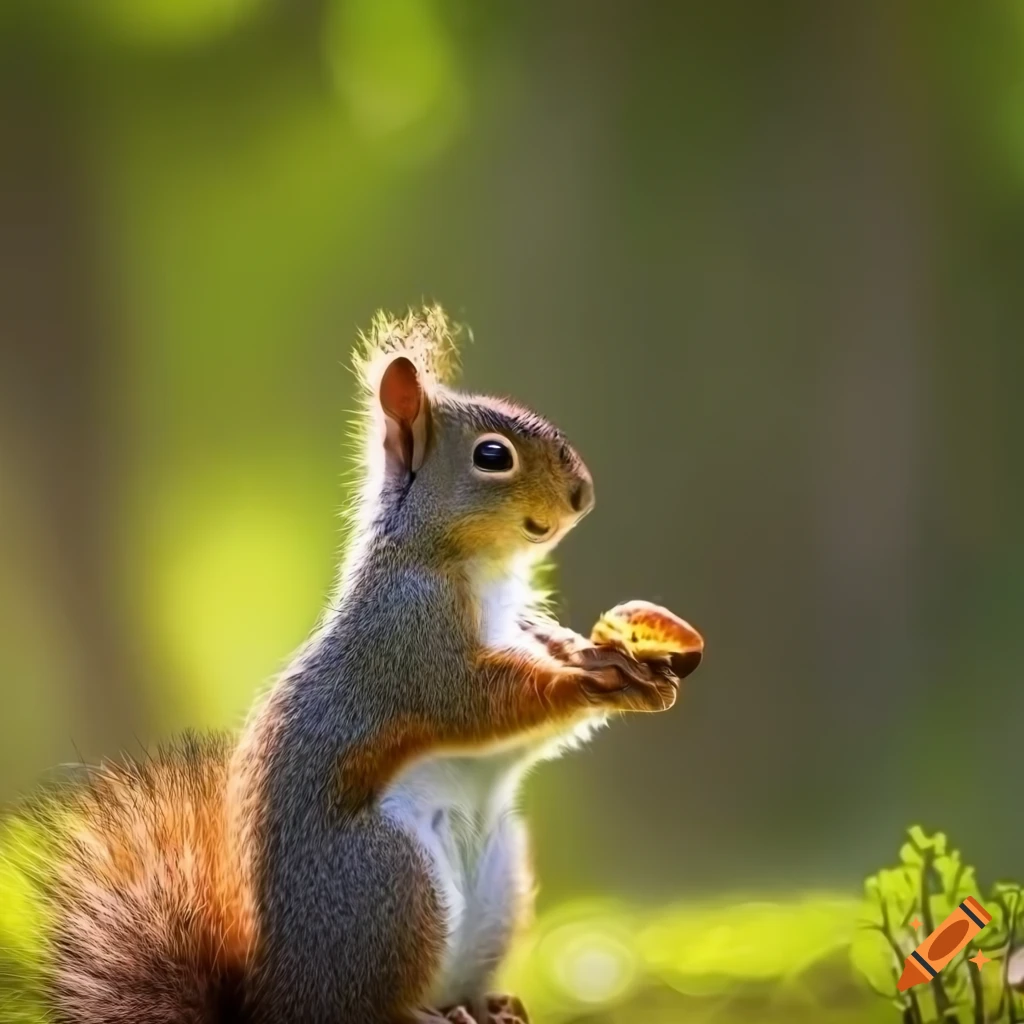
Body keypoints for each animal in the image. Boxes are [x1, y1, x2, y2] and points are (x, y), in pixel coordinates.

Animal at [8, 306, 697, 1024]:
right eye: (492, 456)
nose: (582, 494)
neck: (470, 565)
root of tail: (278, 1003)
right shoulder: (410, 639)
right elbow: (476, 701)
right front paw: (591, 682)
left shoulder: (521, 624)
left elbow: (546, 649)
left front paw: (621, 664)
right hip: (390, 884)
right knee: (372, 1004)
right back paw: (424, 1015)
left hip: (497, 875)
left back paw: (486, 1007)